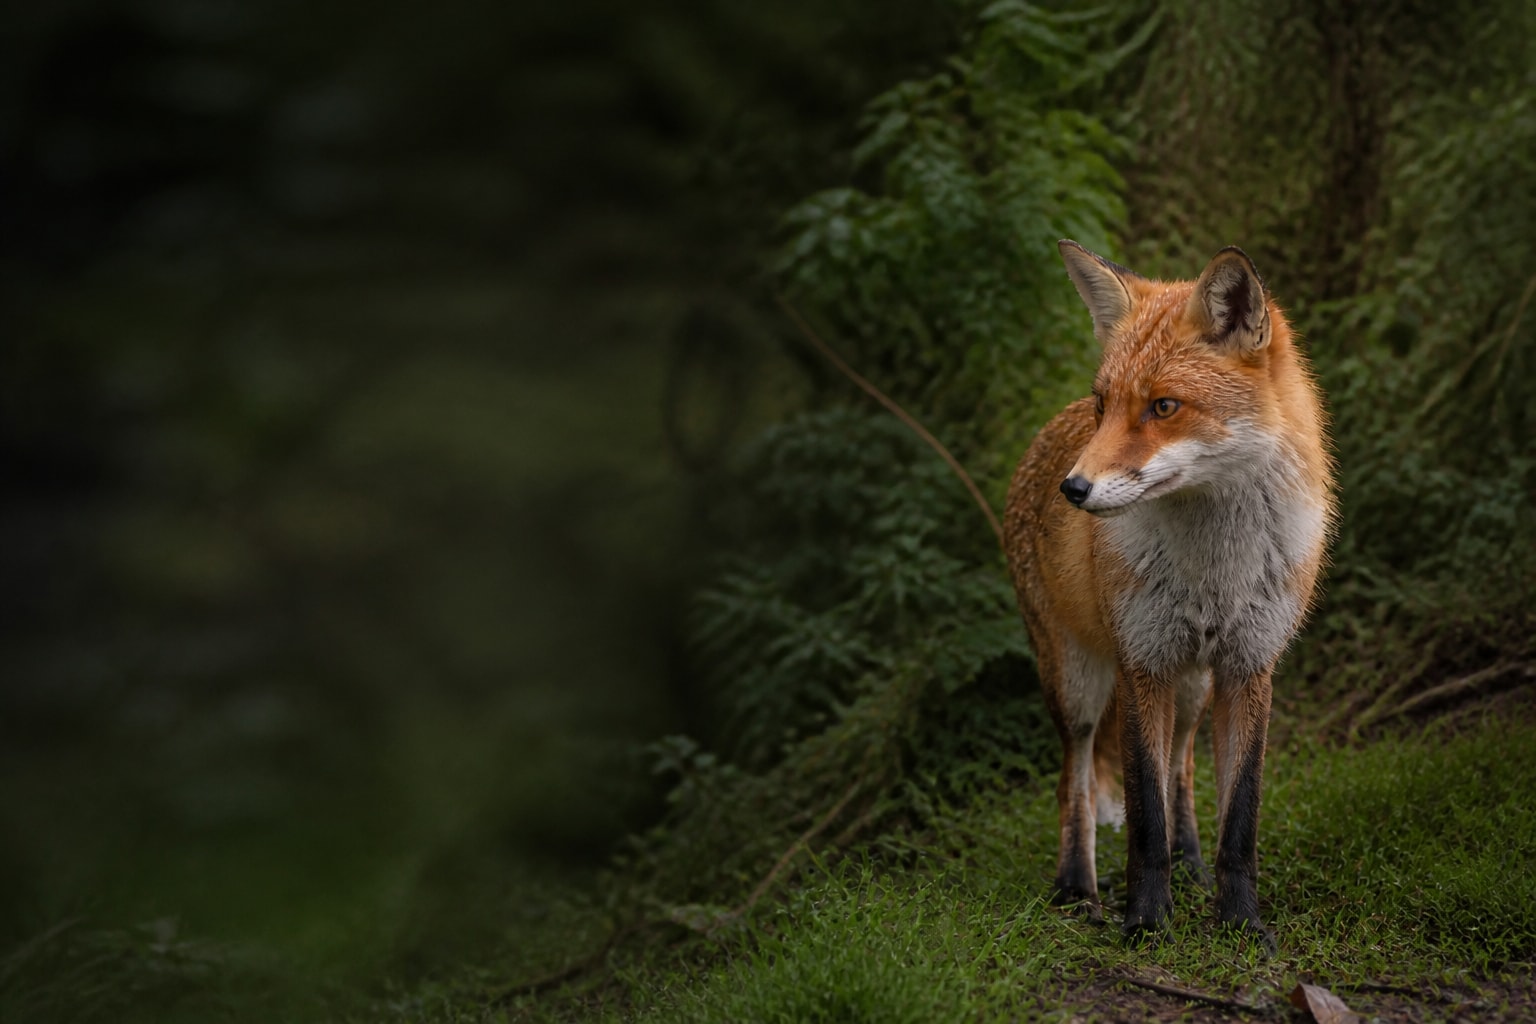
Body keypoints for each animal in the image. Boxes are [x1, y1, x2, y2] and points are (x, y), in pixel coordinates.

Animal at [1003, 240, 1335, 948]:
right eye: (1104, 406)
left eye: (1163, 407)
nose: (1073, 490)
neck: (1215, 568)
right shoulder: (1142, 665)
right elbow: (1144, 817)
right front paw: (1147, 922)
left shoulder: (1248, 667)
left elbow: (1238, 819)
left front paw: (1240, 922)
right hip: (1077, 683)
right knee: (1075, 780)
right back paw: (1077, 889)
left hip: (1193, 689)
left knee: (1181, 767)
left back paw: (1191, 867)